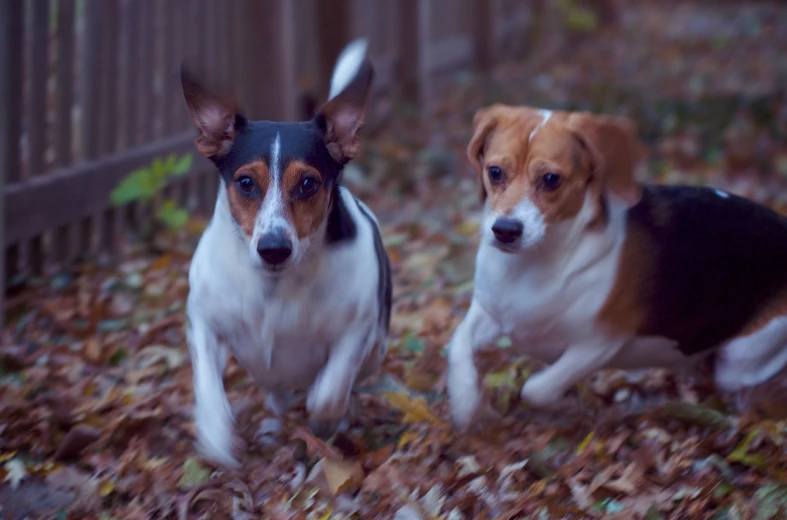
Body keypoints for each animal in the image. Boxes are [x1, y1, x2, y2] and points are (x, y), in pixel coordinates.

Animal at [185, 38, 394, 466]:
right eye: (246, 182)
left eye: (309, 183)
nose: (274, 249)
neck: (275, 288)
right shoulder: (203, 322)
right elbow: (208, 383)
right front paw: (217, 435)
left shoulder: (356, 330)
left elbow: (331, 388)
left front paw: (326, 413)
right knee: (275, 393)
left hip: (376, 346)